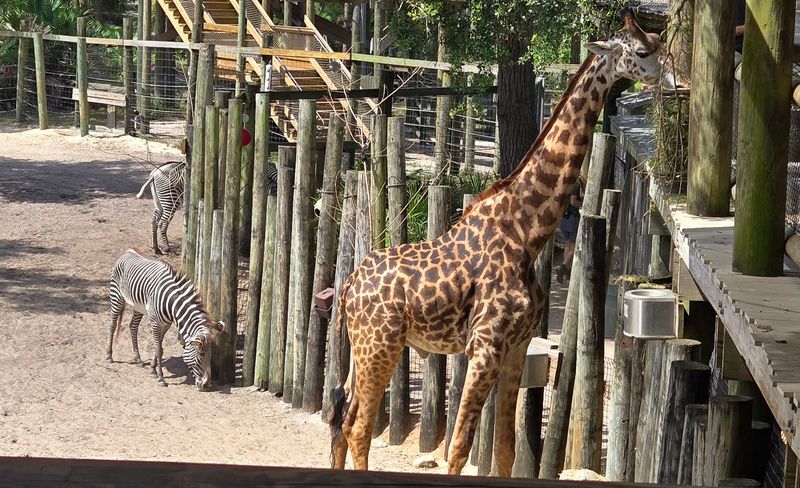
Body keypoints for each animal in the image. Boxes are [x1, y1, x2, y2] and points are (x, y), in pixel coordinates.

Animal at [328, 10, 664, 476]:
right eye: (642, 51)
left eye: (655, 42)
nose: (665, 77)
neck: (527, 233)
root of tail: (347, 289)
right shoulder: (484, 347)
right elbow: (459, 447)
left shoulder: (515, 349)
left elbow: (505, 451)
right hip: (380, 346)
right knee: (359, 429)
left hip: (364, 350)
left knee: (341, 423)